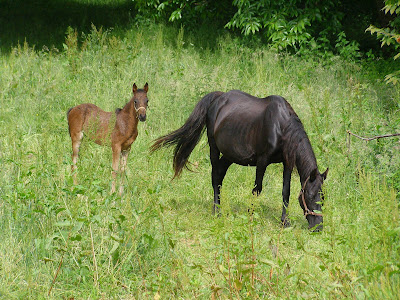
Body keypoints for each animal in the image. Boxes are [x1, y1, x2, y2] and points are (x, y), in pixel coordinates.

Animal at [152, 89, 330, 230]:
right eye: (310, 196)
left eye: (323, 197)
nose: (318, 227)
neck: (281, 126)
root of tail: (218, 97)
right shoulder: (262, 161)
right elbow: (257, 189)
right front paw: (250, 216)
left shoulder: (287, 162)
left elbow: (286, 192)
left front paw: (284, 222)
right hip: (214, 148)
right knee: (215, 177)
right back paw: (217, 211)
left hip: (229, 155)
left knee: (220, 175)